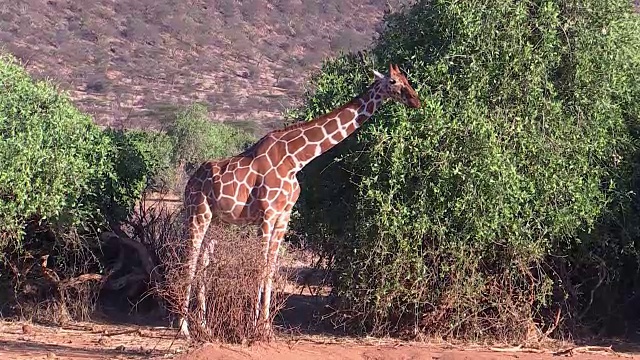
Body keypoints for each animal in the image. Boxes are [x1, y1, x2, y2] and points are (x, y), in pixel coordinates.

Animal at [178, 62, 422, 338]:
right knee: (189, 260)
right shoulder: (267, 215)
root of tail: (189, 183)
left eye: (406, 78)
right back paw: (184, 328)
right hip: (197, 213)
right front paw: (253, 328)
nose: (415, 100)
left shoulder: (284, 216)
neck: (296, 159)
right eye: (393, 81)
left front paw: (266, 328)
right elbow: (261, 266)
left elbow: (271, 268)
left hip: (218, 222)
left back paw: (204, 326)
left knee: (203, 262)